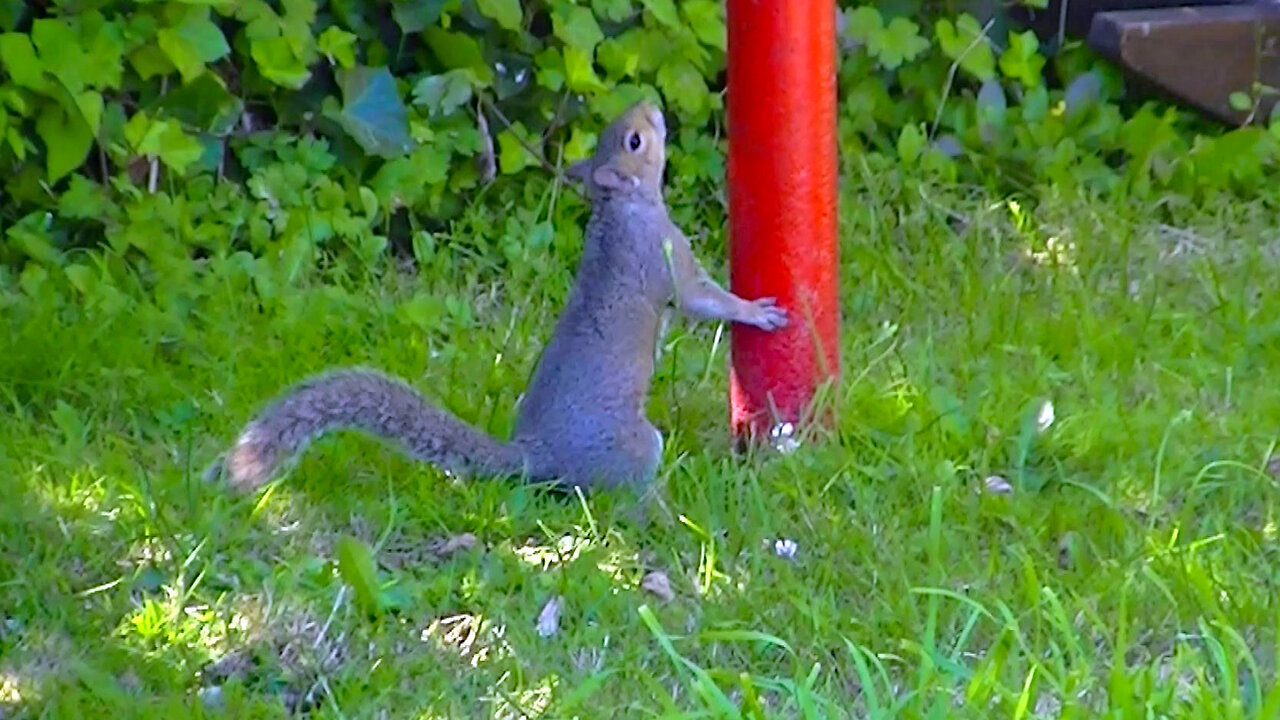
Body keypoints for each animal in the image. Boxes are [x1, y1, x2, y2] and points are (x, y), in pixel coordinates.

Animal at [204, 101, 783, 489]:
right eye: (635, 142)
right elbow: (700, 299)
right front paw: (756, 311)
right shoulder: (663, 256)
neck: (620, 207)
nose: (651, 106)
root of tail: (537, 457)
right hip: (634, 447)